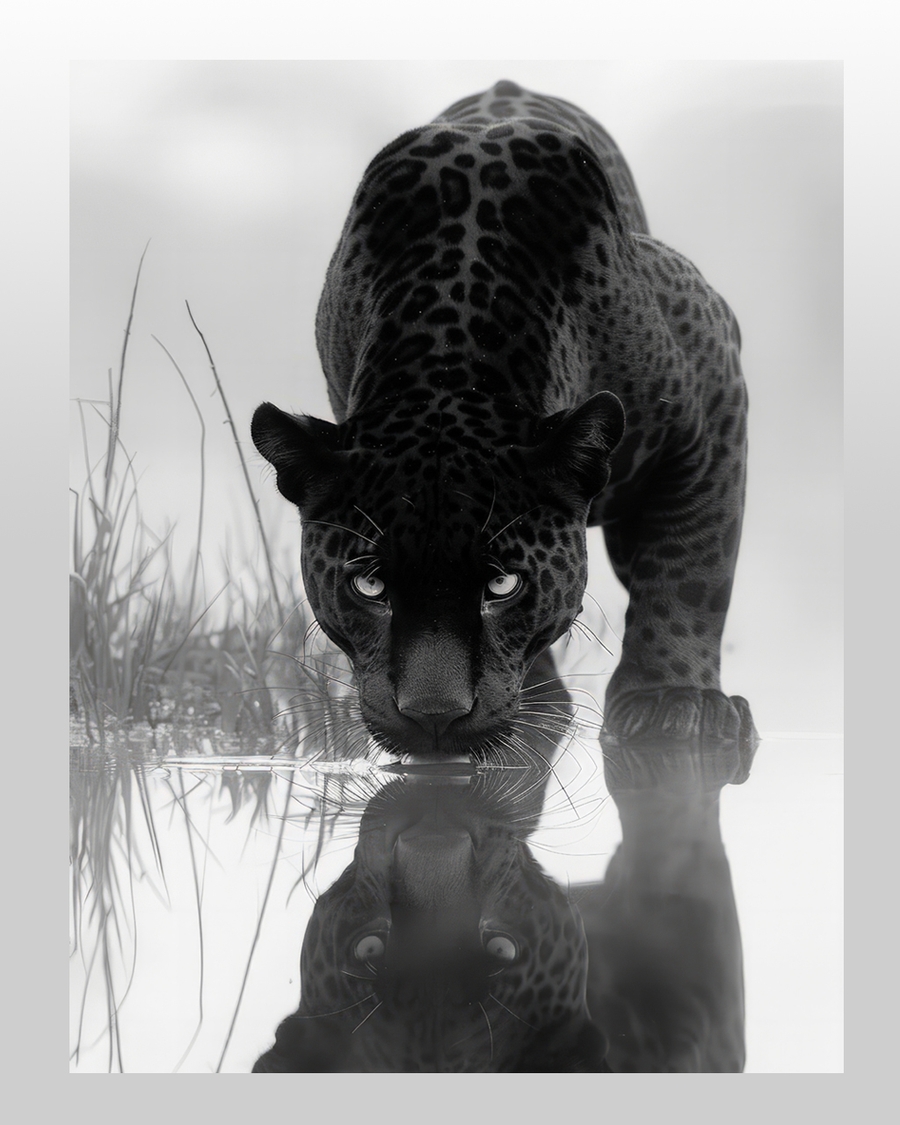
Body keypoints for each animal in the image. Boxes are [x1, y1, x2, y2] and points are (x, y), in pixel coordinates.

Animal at [252, 79, 757, 765]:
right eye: (369, 587)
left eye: (503, 586)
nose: (434, 715)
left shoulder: (710, 399)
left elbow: (693, 562)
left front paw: (674, 702)